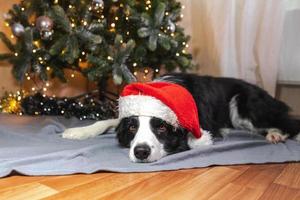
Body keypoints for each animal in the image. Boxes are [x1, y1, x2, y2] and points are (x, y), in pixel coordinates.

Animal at [61, 73, 300, 162]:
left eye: (162, 128)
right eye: (132, 128)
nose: (141, 152)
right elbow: (110, 120)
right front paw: (78, 131)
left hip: (244, 104)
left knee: (287, 122)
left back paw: (276, 134)